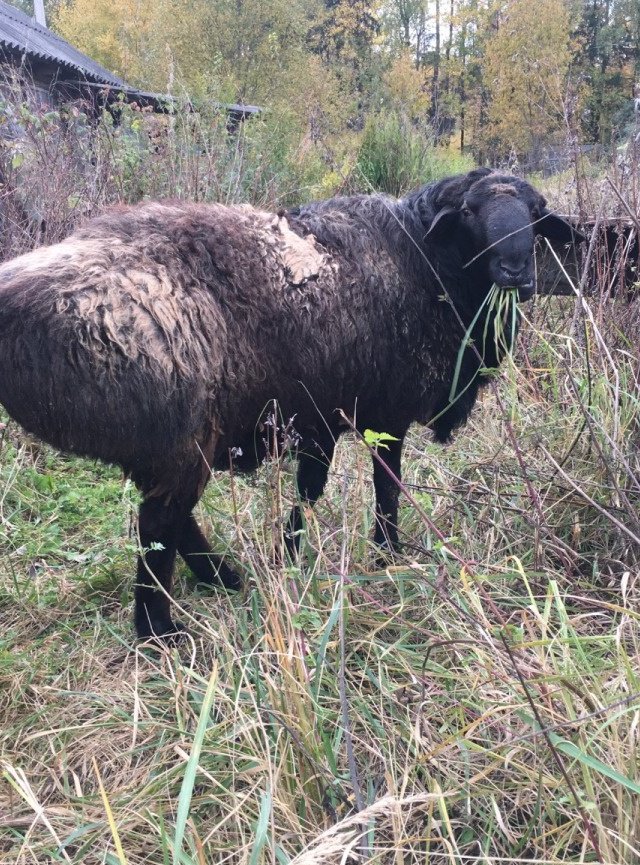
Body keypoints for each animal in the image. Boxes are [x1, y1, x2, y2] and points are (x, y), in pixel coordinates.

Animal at [0, 170, 580, 640]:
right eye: (470, 213)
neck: (421, 258)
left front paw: (290, 555)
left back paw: (224, 579)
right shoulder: (384, 415)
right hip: (181, 435)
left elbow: (309, 490)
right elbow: (385, 486)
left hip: (166, 443)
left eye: (536, 214)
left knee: (171, 518)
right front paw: (386, 552)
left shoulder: (318, 417)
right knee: (159, 527)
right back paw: (160, 630)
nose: (517, 273)